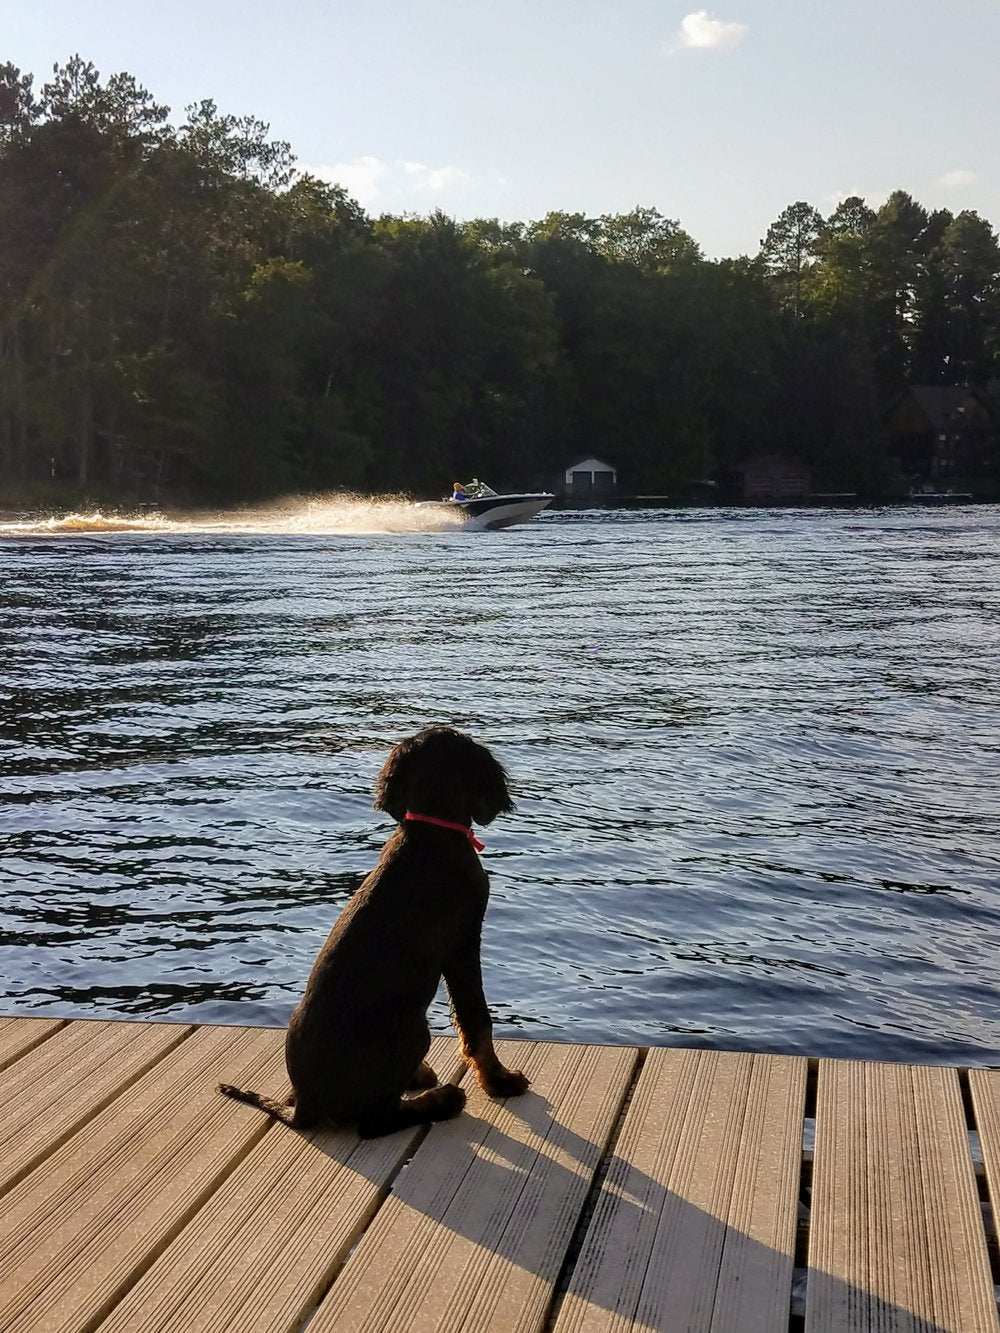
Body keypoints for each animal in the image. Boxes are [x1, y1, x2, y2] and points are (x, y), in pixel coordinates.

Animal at [221, 730, 533, 1135]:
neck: (430, 832)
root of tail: (305, 1104)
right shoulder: (463, 944)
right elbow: (477, 1020)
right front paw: (499, 1080)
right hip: (412, 1029)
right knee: (375, 1121)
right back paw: (442, 1100)